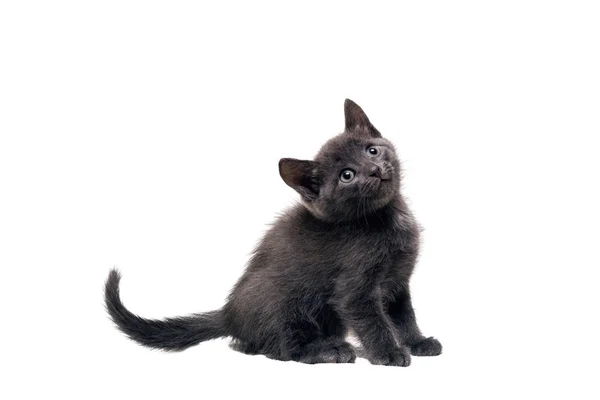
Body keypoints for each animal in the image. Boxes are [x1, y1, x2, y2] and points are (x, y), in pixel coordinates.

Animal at [104, 99, 440, 366]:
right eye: (347, 175)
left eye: (372, 150)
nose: (374, 170)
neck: (385, 218)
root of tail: (230, 314)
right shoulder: (355, 288)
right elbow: (374, 321)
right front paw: (389, 353)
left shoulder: (398, 282)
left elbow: (403, 316)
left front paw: (416, 342)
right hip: (282, 298)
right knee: (281, 347)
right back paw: (329, 349)